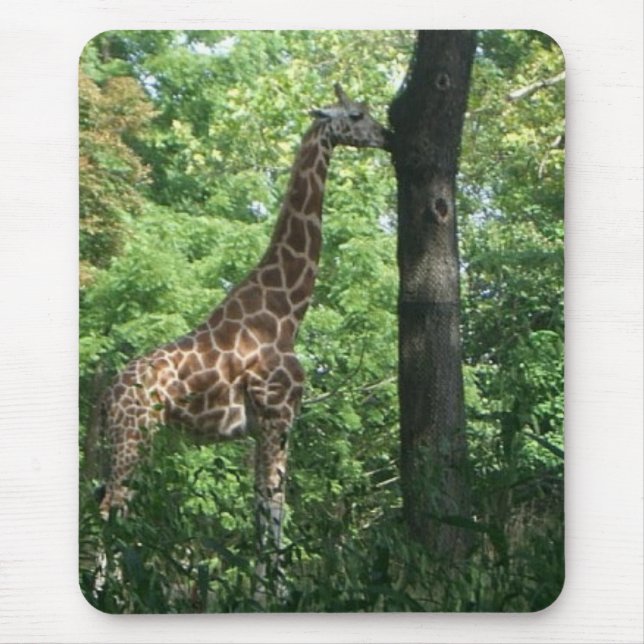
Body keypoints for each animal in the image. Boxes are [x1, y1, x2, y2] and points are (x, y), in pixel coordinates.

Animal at [96, 83, 388, 590]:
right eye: (357, 114)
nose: (388, 136)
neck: (286, 314)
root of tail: (109, 394)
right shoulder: (279, 413)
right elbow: (274, 505)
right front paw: (272, 592)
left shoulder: (259, 426)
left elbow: (259, 507)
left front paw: (265, 588)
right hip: (135, 433)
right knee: (114, 505)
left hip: (128, 438)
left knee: (107, 506)